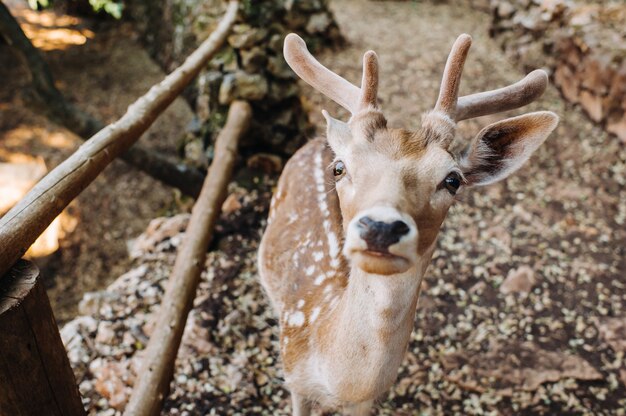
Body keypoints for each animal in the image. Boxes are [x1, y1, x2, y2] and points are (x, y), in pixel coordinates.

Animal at [256, 33, 560, 416]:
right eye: (340, 168)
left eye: (452, 180)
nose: (381, 228)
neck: (341, 382)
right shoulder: (293, 373)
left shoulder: (365, 403)